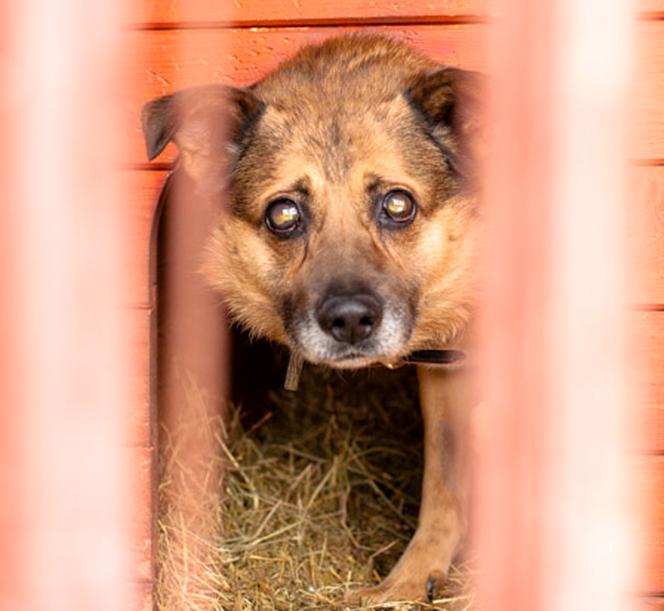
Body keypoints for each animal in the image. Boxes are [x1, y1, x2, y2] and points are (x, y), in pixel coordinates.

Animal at [141, 34, 482, 608]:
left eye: (398, 204)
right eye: (284, 214)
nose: (350, 322)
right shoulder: (446, 372)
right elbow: (445, 476)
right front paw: (411, 580)